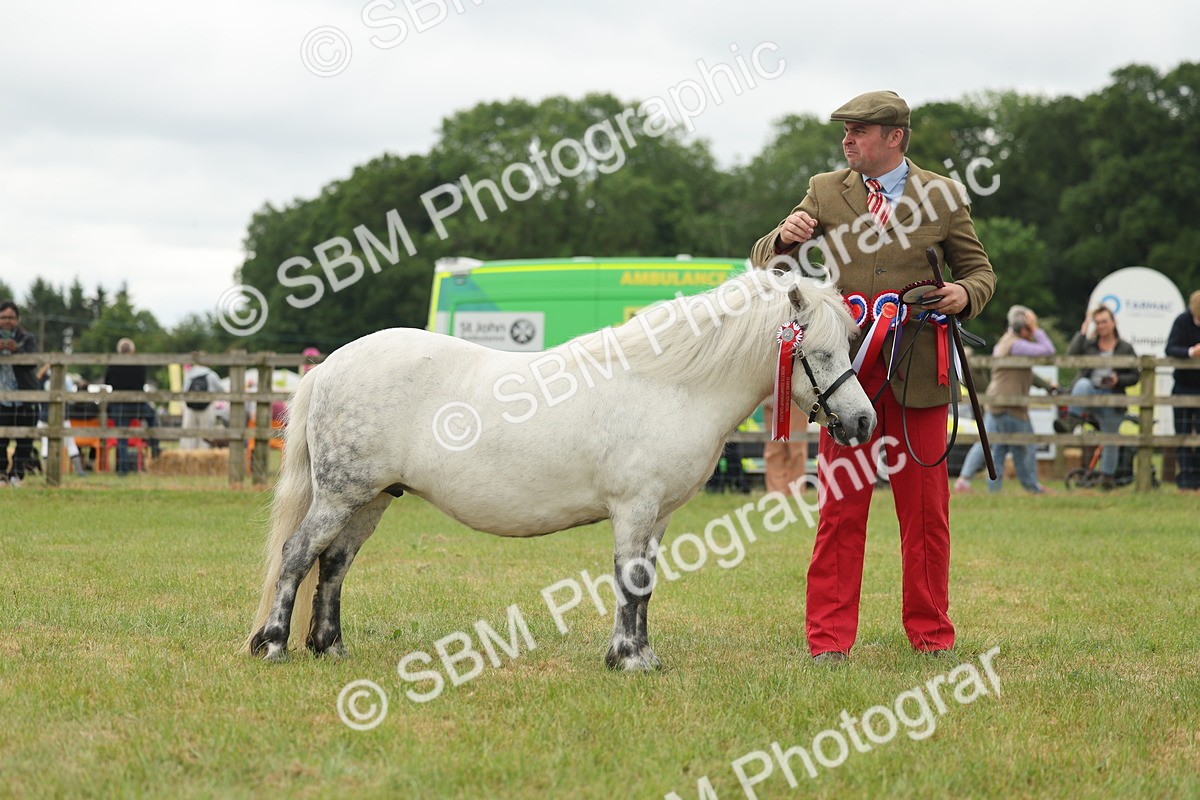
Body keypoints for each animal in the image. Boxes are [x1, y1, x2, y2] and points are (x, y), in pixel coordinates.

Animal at [247, 268, 876, 670]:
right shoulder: (634, 507)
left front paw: (643, 654)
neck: (669, 384)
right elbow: (631, 579)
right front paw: (627, 660)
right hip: (340, 494)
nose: (864, 421)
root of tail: (329, 366)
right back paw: (273, 645)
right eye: (819, 353)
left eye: (849, 346)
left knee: (334, 564)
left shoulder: (659, 515)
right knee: (299, 555)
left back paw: (329, 648)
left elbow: (646, 583)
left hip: (372, 498)